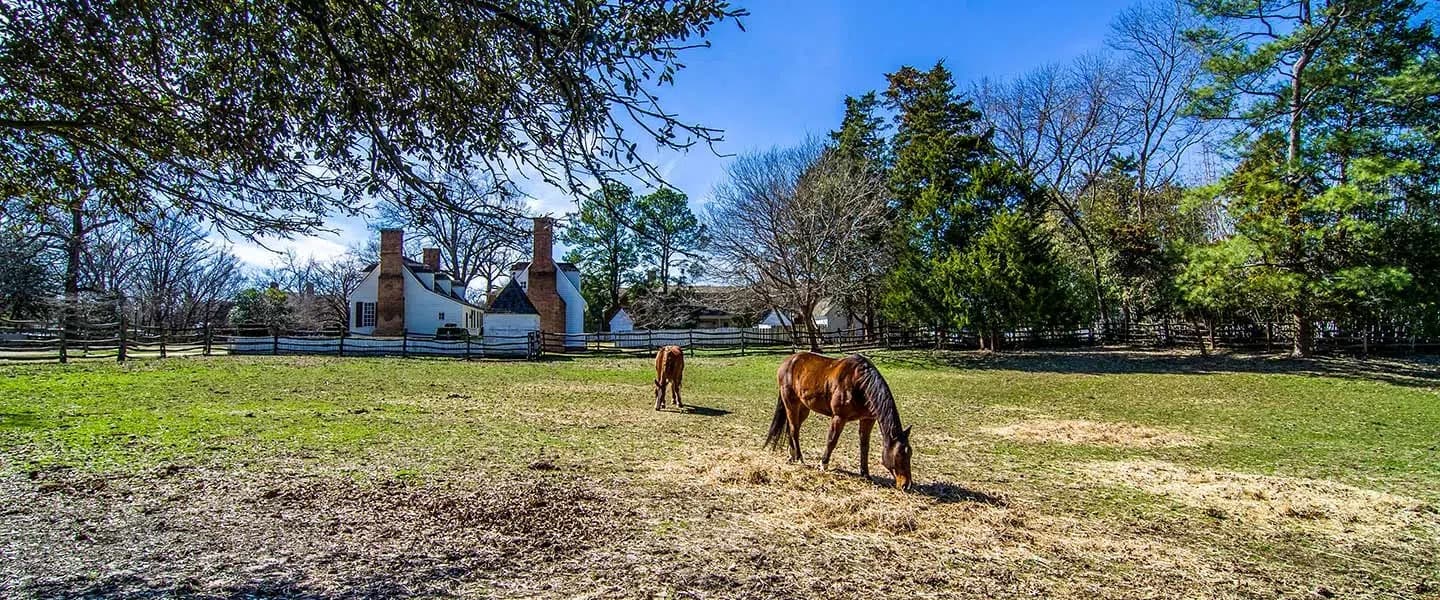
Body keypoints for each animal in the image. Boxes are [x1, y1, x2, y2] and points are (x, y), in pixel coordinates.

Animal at [764, 352, 913, 490]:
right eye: (899, 454)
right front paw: (823, 465)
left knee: (792, 428)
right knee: (794, 429)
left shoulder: (867, 419)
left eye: (910, 453)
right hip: (791, 404)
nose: (906, 485)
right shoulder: (839, 417)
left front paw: (865, 474)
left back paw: (792, 455)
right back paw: (800, 458)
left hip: (803, 407)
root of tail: (788, 361)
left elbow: (865, 446)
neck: (859, 383)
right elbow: (832, 440)